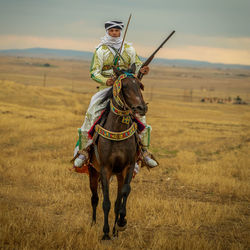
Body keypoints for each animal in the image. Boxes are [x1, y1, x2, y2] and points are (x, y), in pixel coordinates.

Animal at [88, 63, 147, 239]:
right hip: (93, 172)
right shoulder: (105, 169)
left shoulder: (128, 166)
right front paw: (105, 233)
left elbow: (123, 194)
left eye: (139, 85)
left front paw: (121, 223)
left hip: (119, 174)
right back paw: (93, 223)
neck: (117, 130)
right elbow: (105, 202)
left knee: (116, 199)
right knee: (94, 197)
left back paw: (115, 229)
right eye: (124, 86)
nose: (142, 107)